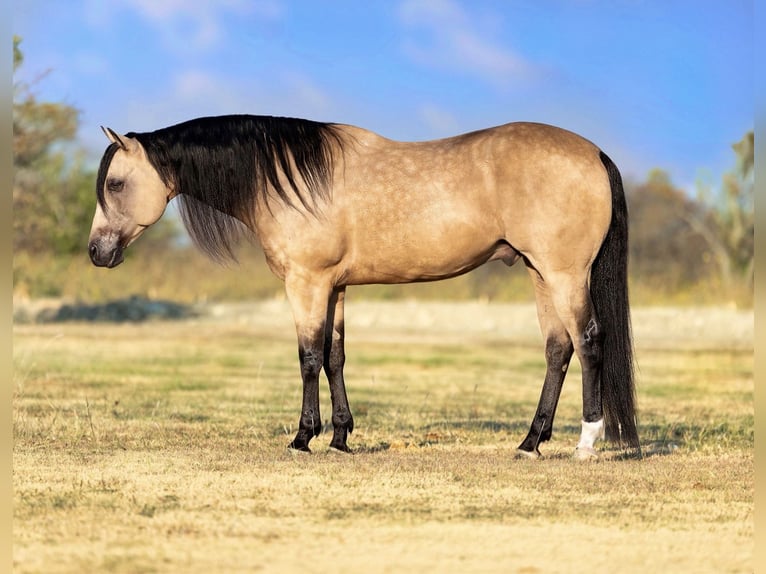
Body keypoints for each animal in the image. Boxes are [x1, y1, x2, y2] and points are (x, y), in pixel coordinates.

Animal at [88, 114, 639, 459]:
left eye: (115, 183)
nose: (97, 252)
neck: (292, 180)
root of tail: (594, 152)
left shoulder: (306, 282)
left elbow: (308, 356)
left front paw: (302, 438)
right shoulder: (335, 287)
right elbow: (335, 356)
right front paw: (340, 437)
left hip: (565, 274)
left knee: (589, 341)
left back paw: (585, 442)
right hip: (539, 273)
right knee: (557, 349)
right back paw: (530, 443)